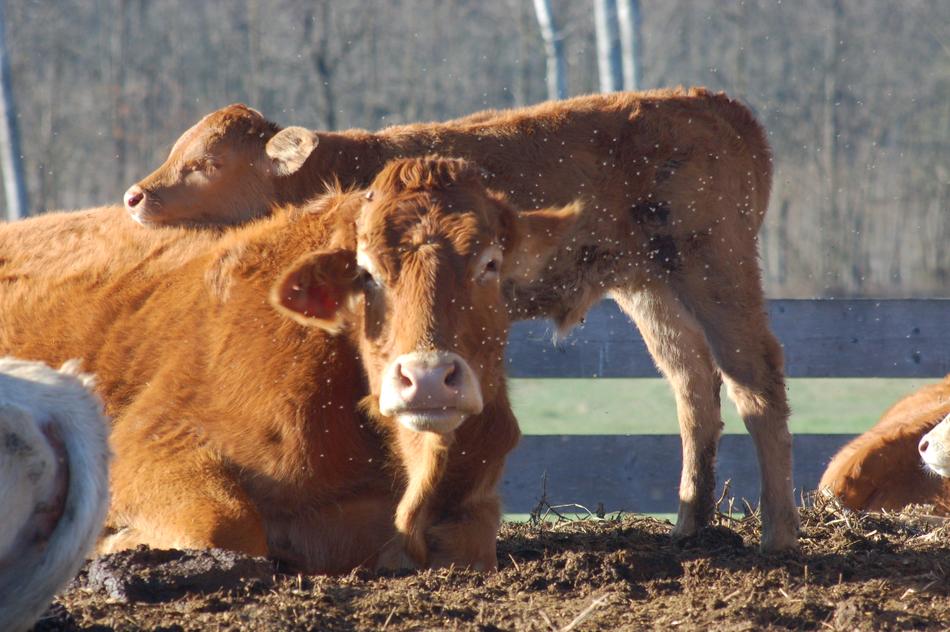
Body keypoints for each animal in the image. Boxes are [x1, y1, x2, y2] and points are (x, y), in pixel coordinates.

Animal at [0, 157, 578, 572]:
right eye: (366, 273)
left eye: (490, 264)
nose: (429, 378)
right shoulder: (153, 441)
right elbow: (225, 524)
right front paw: (107, 540)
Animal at [121, 88, 800, 551]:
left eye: (209, 163)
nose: (135, 196)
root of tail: (715, 104)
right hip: (652, 292)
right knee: (693, 387)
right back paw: (688, 525)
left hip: (717, 275)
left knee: (756, 382)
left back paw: (779, 535)